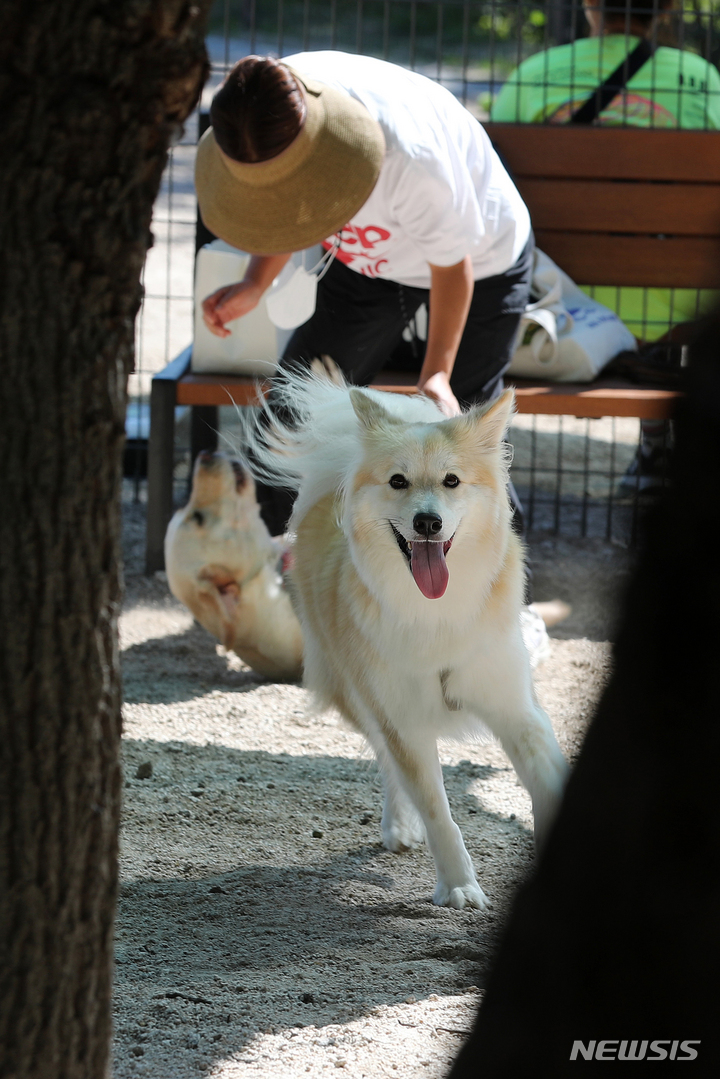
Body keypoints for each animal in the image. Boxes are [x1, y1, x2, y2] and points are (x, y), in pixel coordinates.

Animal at [248, 373, 569, 910]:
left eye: (452, 481)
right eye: (398, 481)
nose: (427, 522)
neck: (436, 612)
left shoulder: (516, 707)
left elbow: (547, 779)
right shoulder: (403, 717)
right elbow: (438, 810)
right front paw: (458, 885)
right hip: (358, 694)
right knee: (386, 761)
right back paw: (399, 824)